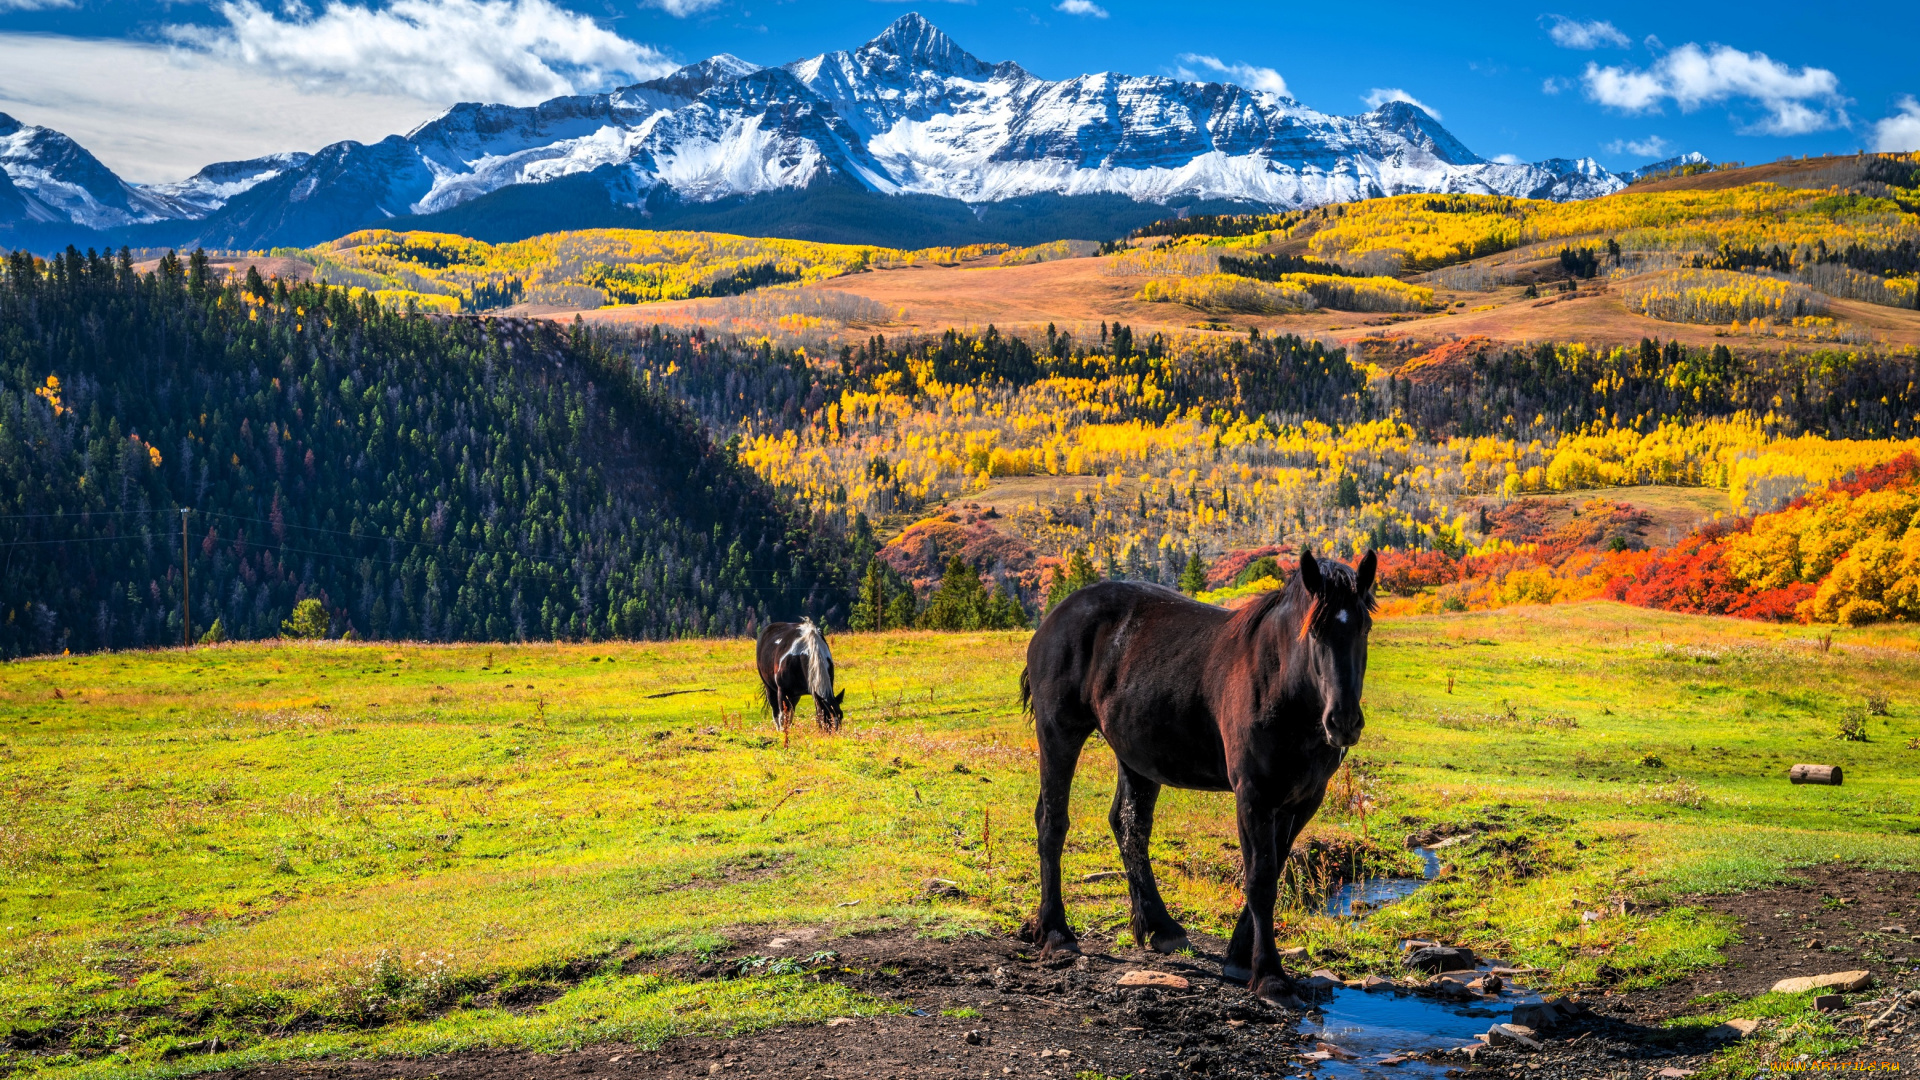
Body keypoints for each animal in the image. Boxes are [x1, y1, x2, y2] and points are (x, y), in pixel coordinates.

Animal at [1013, 545, 1374, 999]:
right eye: (1315, 631)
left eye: (1364, 627)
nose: (1343, 722)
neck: (1282, 686)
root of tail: (1054, 618)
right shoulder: (1253, 795)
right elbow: (1261, 879)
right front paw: (1269, 975)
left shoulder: (1303, 800)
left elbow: (1275, 868)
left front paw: (1239, 958)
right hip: (1059, 733)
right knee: (1052, 821)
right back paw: (1057, 934)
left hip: (1136, 755)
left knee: (1129, 827)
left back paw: (1160, 927)